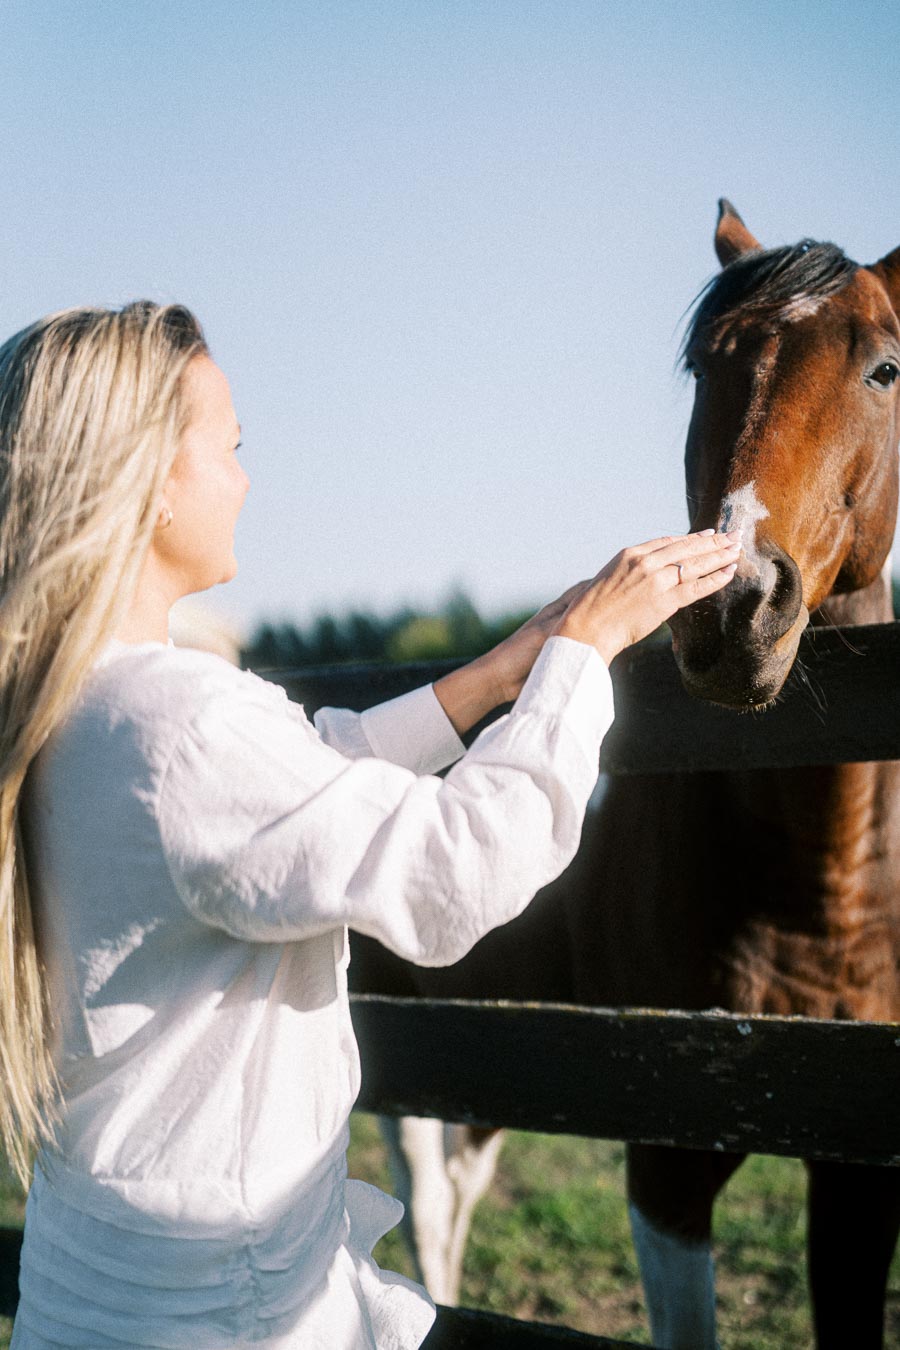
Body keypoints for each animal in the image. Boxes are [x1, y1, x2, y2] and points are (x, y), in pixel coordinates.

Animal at [349, 201, 900, 1349]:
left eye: (884, 369)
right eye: (706, 365)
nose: (734, 608)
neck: (819, 892)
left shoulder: (859, 1165)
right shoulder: (666, 1148)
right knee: (425, 1201)